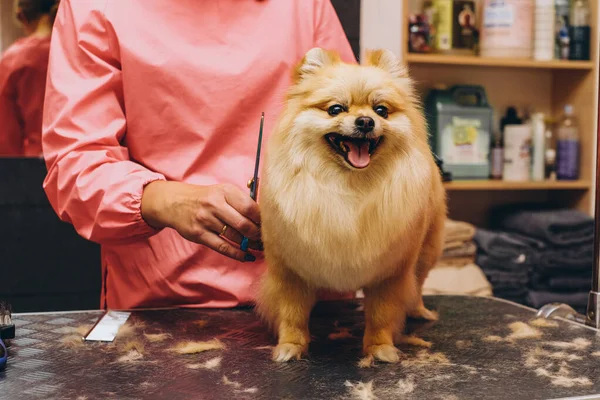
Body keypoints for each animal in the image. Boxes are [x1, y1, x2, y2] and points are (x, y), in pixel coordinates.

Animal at [256, 48, 446, 364]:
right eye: (336, 109)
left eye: (381, 110)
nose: (365, 121)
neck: (348, 186)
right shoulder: (289, 270)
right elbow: (292, 313)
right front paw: (290, 346)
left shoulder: (390, 272)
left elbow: (381, 314)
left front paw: (380, 349)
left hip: (427, 250)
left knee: (418, 283)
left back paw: (419, 311)